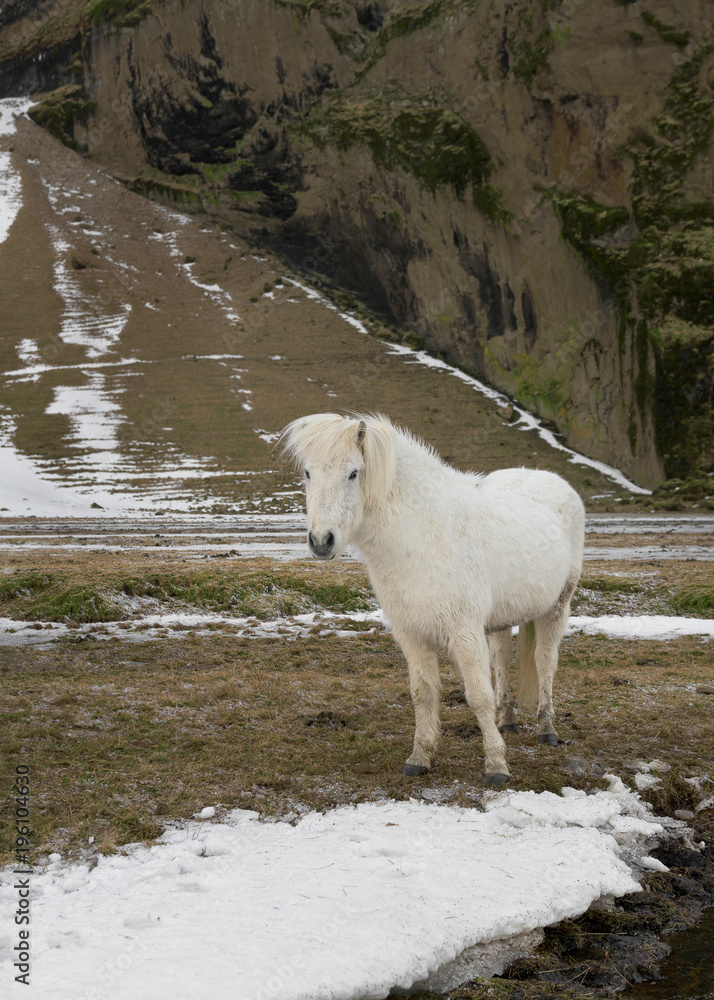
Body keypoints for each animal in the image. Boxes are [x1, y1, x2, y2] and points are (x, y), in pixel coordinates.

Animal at [280, 412, 585, 788]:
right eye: (308, 473)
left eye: (353, 473)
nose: (322, 541)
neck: (422, 533)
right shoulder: (411, 633)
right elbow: (422, 693)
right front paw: (419, 758)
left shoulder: (465, 631)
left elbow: (478, 696)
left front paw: (496, 766)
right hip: (503, 617)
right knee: (502, 659)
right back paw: (508, 721)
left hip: (558, 606)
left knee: (545, 663)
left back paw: (547, 729)